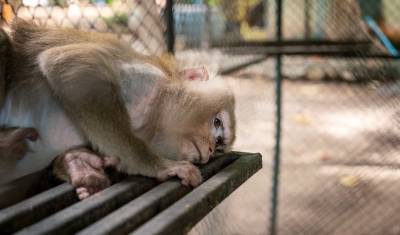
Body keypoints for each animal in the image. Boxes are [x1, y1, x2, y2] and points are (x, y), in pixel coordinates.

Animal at [0, 20, 236, 200]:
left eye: (219, 145)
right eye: (217, 122)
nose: (210, 150)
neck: (150, 124)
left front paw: (78, 164)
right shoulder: (148, 79)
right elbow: (69, 65)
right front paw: (156, 165)